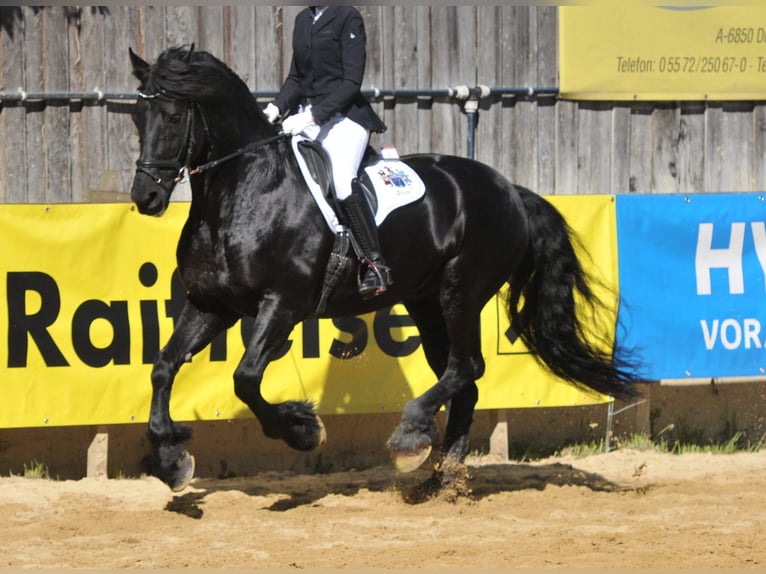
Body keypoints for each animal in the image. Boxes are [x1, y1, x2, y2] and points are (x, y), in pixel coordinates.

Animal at [128, 45, 639, 493]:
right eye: (137, 117)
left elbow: (246, 378)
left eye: (172, 116)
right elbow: (163, 367)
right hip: (426, 302)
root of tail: (510, 189)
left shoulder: (284, 304)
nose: (145, 198)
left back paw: (410, 435)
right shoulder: (212, 305)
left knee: (467, 366)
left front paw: (303, 430)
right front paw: (173, 460)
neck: (244, 190)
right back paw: (442, 480)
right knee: (463, 381)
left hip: (461, 290)